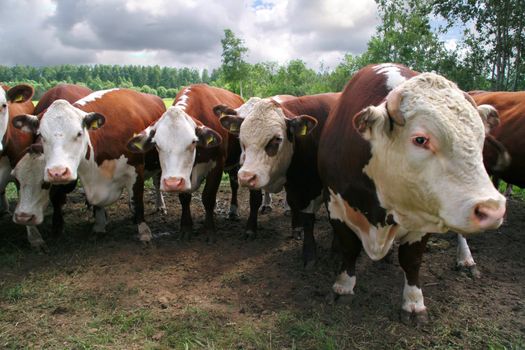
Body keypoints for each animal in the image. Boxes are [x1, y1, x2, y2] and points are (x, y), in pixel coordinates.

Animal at [11, 89, 166, 242]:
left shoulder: (136, 170)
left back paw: (160, 205)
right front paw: (99, 226)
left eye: (79, 133)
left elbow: (137, 201)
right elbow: (97, 206)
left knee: (157, 183)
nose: (58, 172)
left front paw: (144, 231)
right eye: (42, 135)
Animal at [128, 84, 243, 242]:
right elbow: (184, 198)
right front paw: (186, 228)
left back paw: (233, 210)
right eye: (156, 144)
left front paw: (209, 230)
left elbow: (208, 197)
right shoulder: (181, 177)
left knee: (234, 184)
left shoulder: (217, 165)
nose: (172, 183)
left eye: (193, 142)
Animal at [318, 63, 506, 326]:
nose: (494, 209)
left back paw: (466, 259)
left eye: (480, 138)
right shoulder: (335, 204)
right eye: (420, 139)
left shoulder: (425, 214)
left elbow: (412, 260)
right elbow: (349, 247)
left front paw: (414, 303)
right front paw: (343, 287)